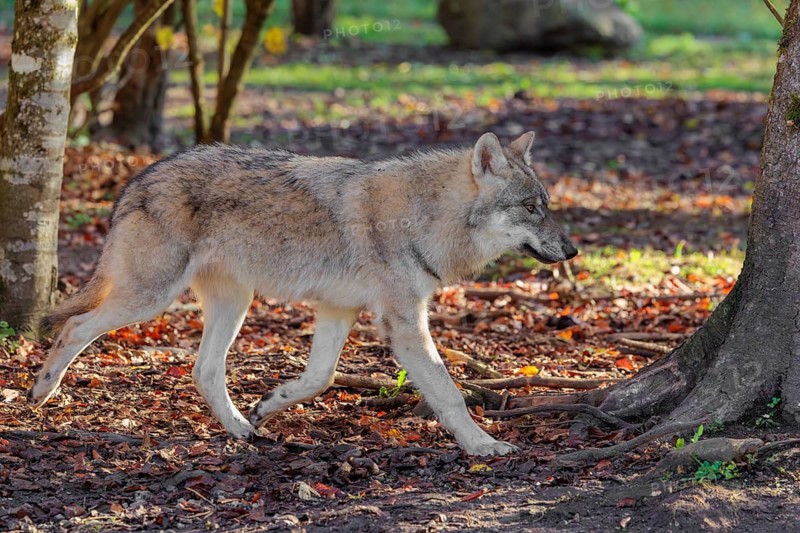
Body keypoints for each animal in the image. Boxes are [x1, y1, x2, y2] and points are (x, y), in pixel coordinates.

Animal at [28, 131, 577, 456]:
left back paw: (242, 429)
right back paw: (41, 390)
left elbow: (320, 378)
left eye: (546, 205)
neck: (424, 216)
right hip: (151, 299)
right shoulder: (402, 322)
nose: (571, 249)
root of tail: (138, 178)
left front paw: (271, 403)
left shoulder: (339, 309)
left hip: (233, 303)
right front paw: (484, 446)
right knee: (73, 325)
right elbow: (449, 393)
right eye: (531, 208)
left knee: (203, 370)